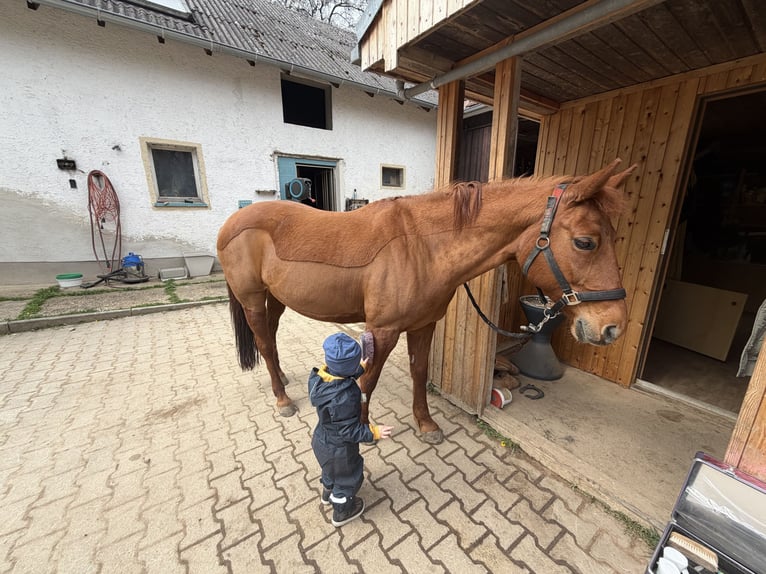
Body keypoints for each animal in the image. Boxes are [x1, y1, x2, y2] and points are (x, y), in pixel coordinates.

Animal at [217, 159, 636, 444]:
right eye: (586, 242)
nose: (612, 326)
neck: (422, 247)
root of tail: (231, 223)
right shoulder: (382, 331)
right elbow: (367, 382)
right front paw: (361, 434)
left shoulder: (423, 325)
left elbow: (419, 372)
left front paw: (426, 424)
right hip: (253, 299)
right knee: (264, 343)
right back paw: (283, 399)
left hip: (276, 299)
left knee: (269, 340)